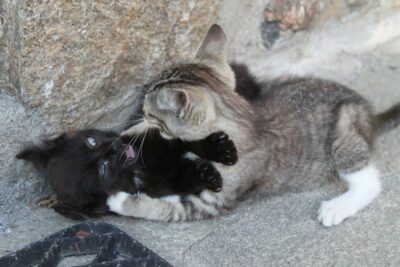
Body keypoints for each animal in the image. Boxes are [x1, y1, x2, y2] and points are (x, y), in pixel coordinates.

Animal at [108, 24, 400, 226]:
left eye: (150, 112)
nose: (142, 111)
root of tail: (368, 111)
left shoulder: (215, 201)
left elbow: (166, 209)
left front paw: (120, 200)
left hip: (345, 130)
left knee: (368, 181)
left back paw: (339, 206)